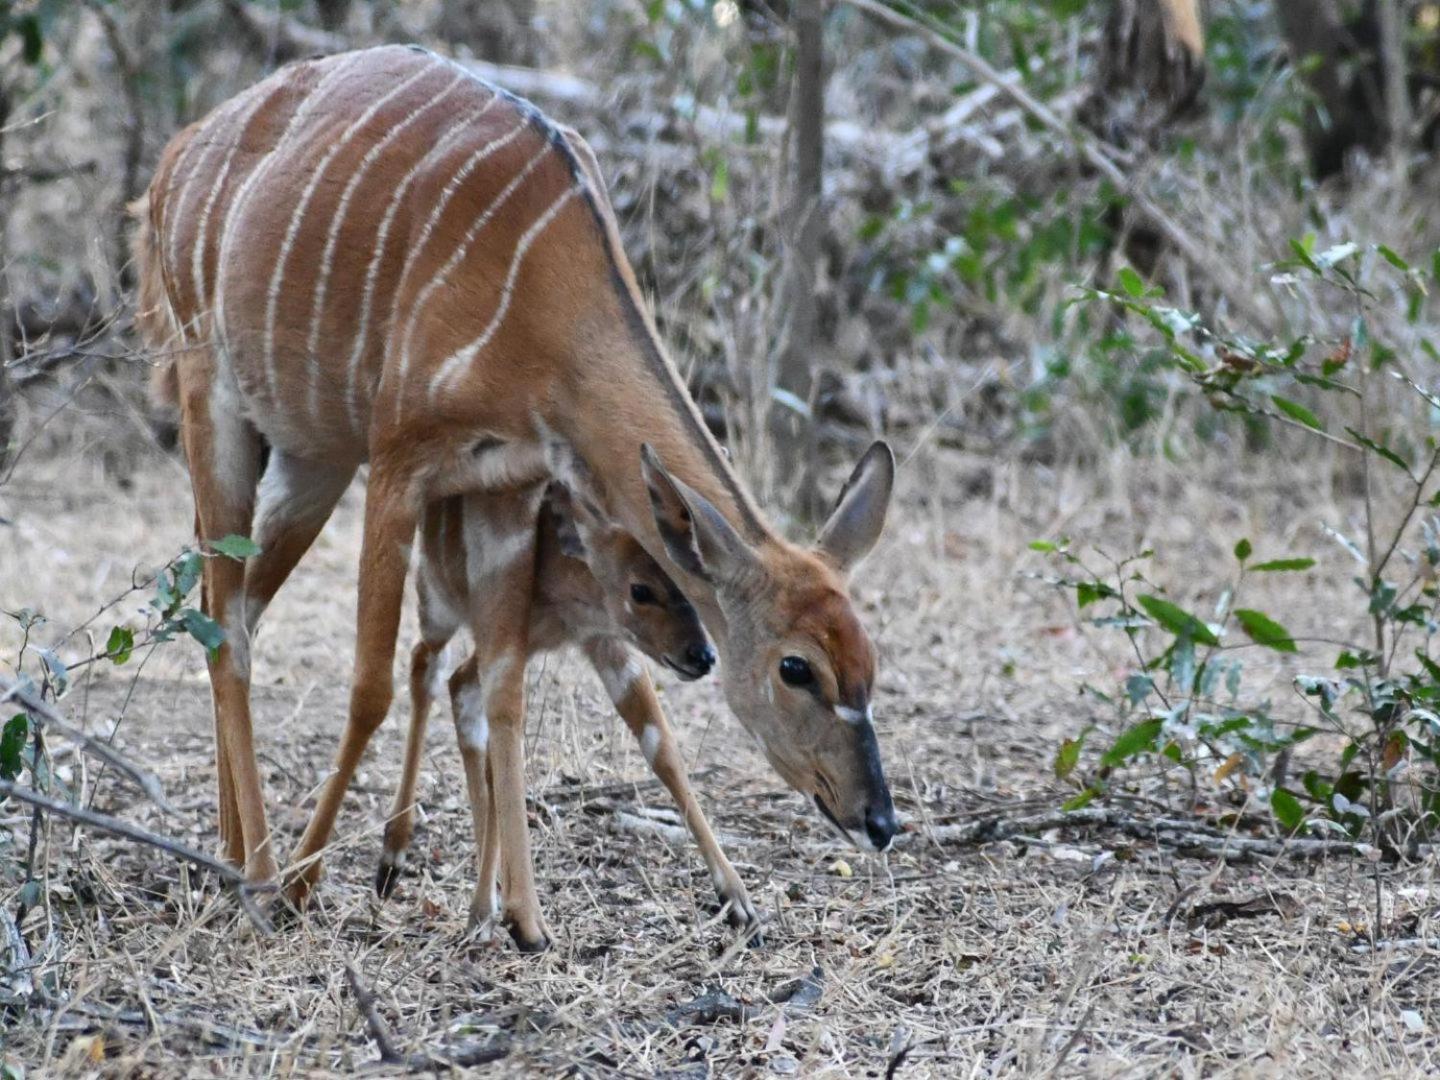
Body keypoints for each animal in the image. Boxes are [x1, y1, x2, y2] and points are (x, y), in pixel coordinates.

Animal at [377, 478, 760, 933]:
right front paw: (492, 911)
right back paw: (393, 860)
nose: (701, 655)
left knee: (452, 685)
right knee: (427, 666)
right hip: (438, 599)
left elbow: (660, 745)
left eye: (688, 586)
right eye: (641, 589)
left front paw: (738, 900)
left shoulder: (604, 642)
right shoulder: (512, 639)